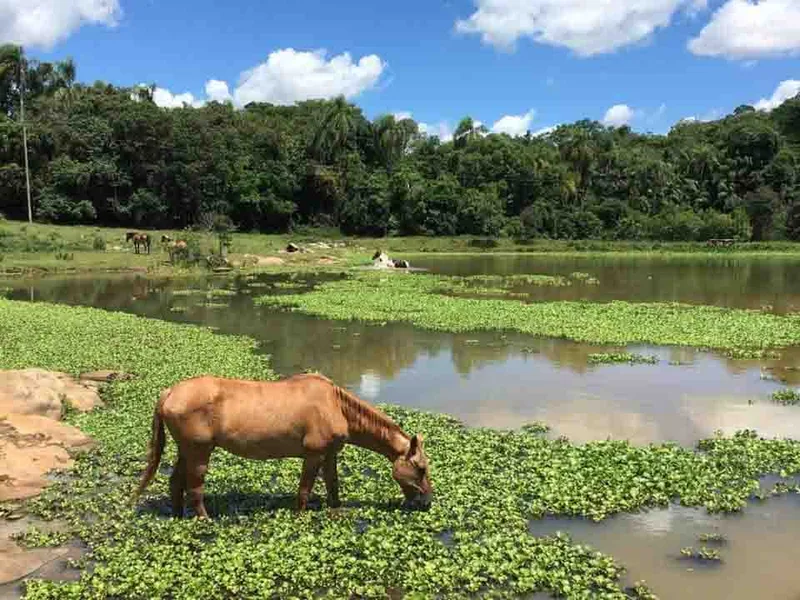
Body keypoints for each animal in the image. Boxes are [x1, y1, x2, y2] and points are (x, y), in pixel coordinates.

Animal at [133, 373, 432, 518]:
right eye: (420, 468)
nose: (427, 501)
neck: (337, 407)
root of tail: (169, 392)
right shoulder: (313, 455)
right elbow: (304, 491)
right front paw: (300, 517)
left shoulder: (330, 455)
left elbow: (333, 485)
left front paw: (336, 509)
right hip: (199, 452)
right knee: (195, 489)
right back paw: (204, 520)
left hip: (186, 450)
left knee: (175, 483)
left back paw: (177, 515)